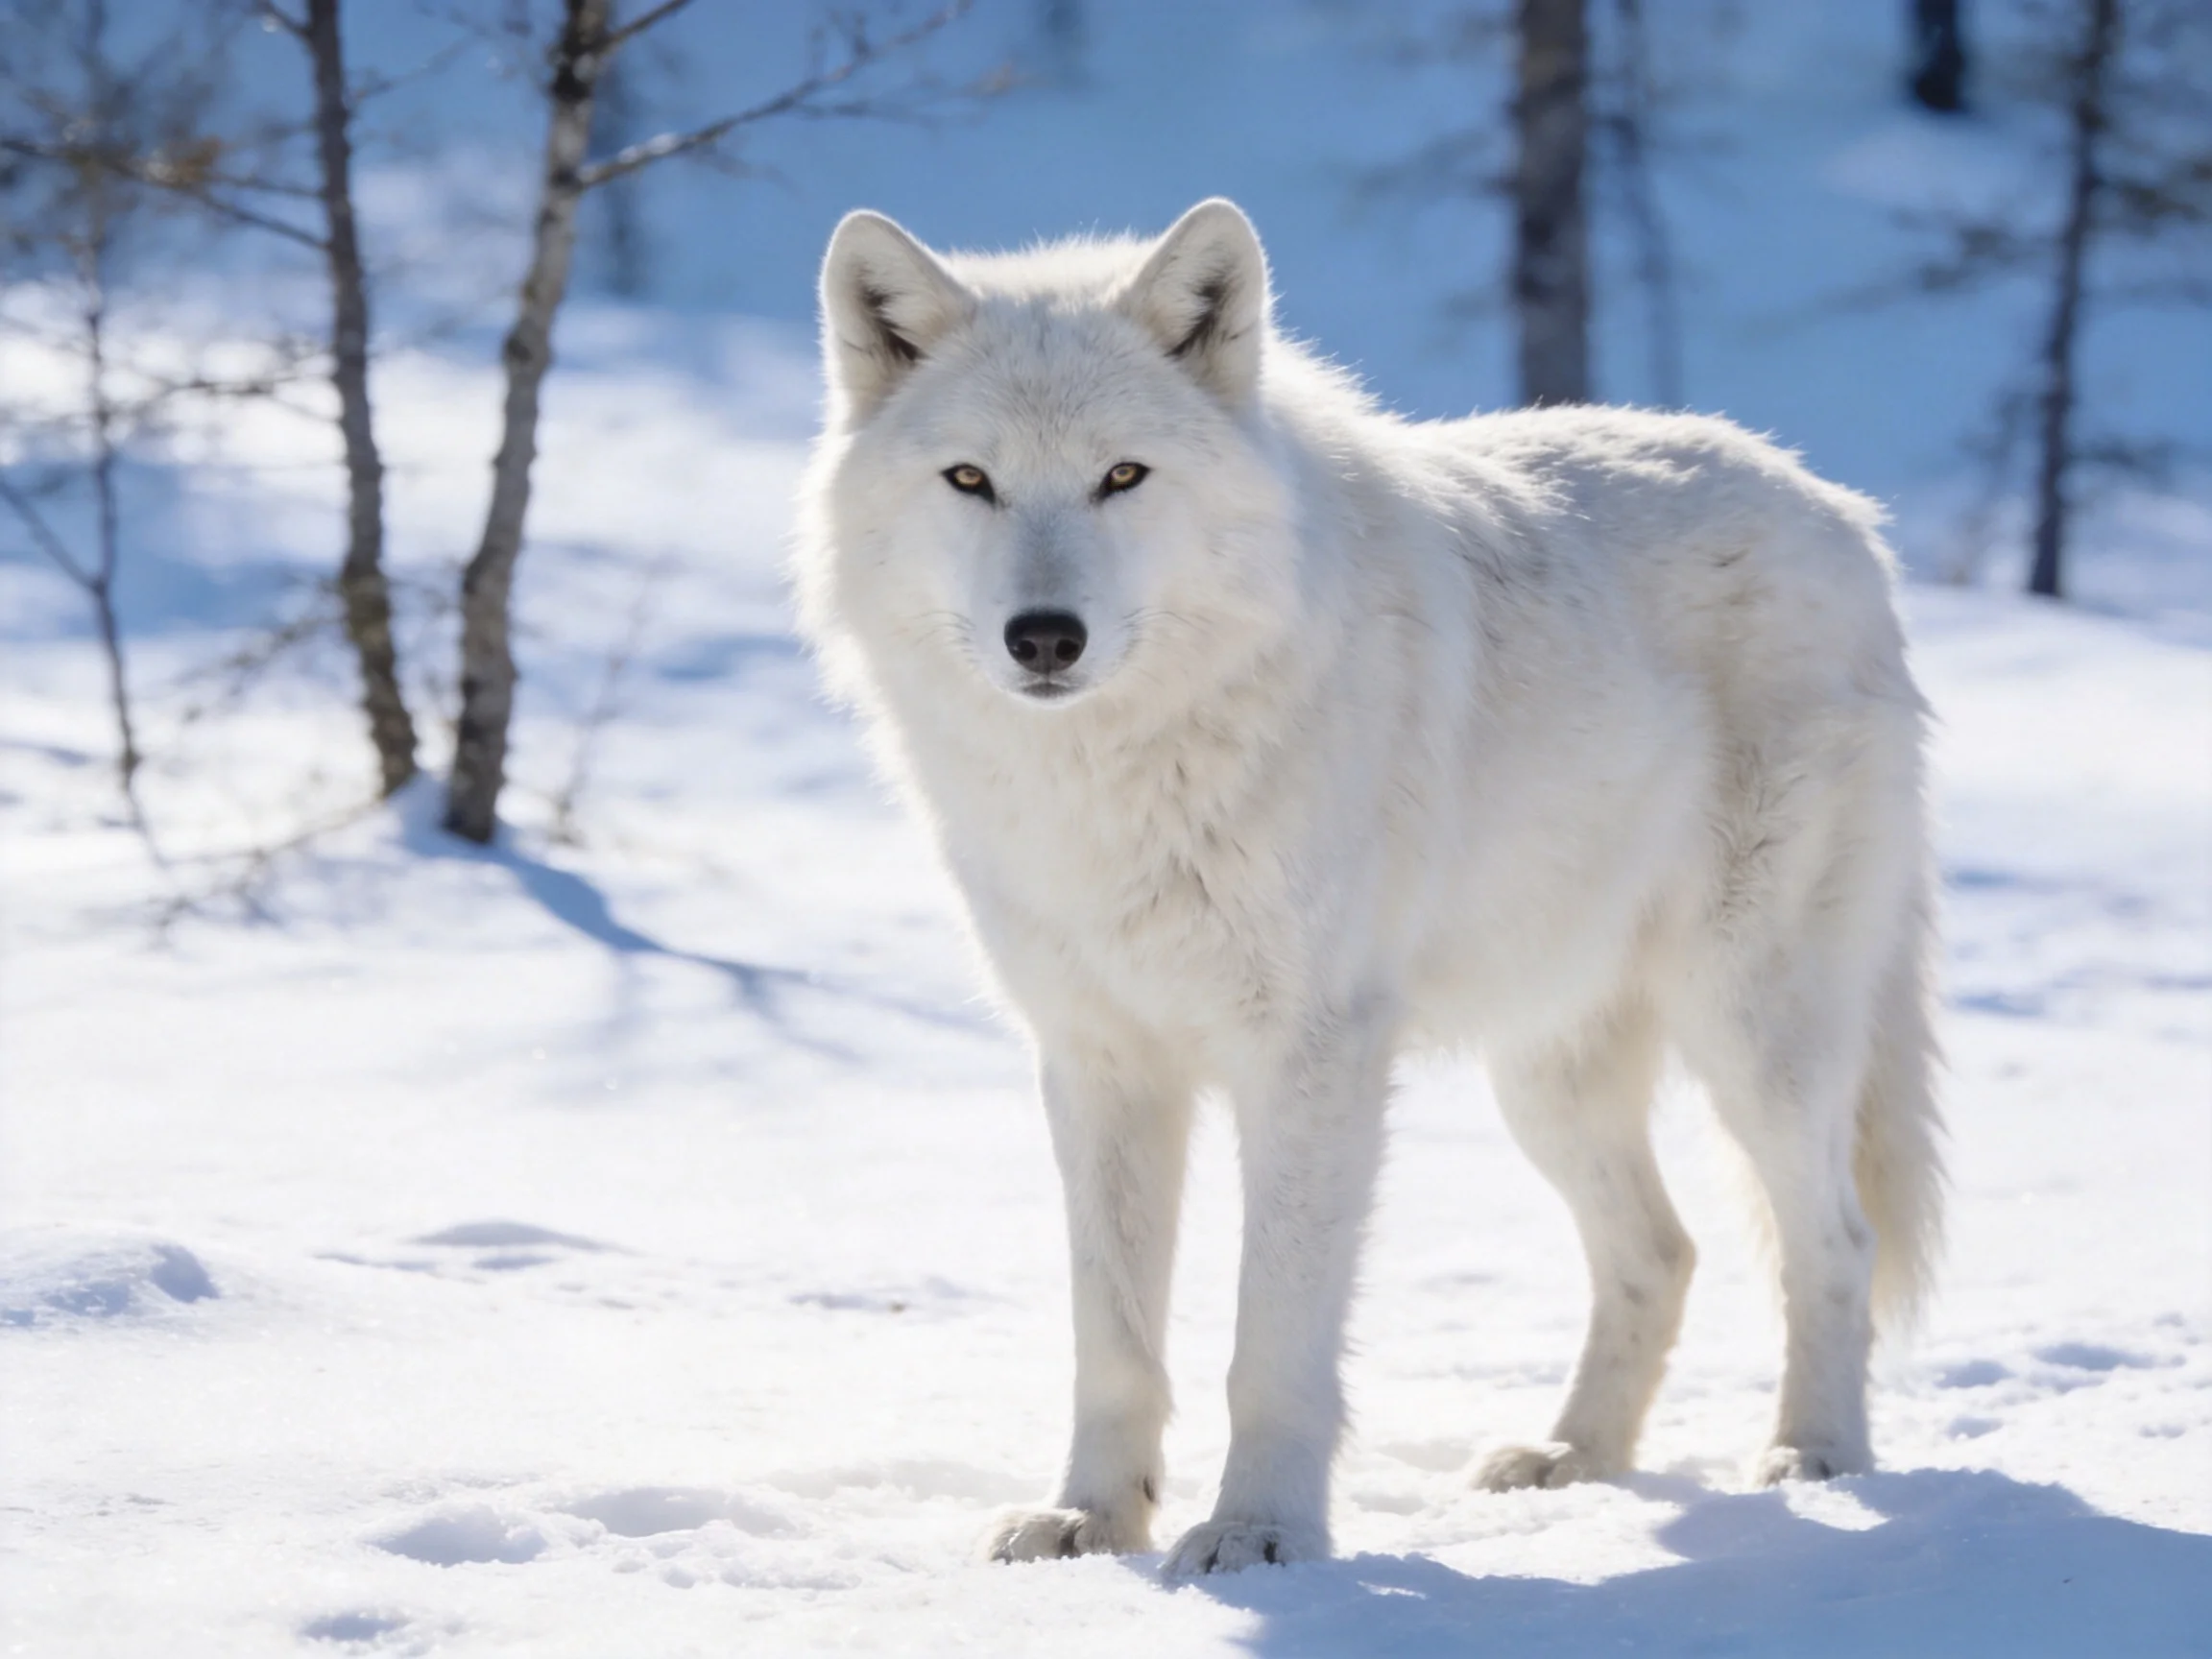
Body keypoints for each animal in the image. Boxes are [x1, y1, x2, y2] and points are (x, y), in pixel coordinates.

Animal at [794, 199, 1942, 1577]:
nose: (1045, 638)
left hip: (1753, 1036)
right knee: (1662, 1253)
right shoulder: (1097, 1061)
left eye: (1123, 476)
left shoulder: (1310, 1060)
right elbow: (1111, 1338)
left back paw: (1812, 1460)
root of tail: (1842, 512)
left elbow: (1272, 1341)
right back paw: (1572, 1460)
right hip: (1545, 1078)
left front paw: (1258, 1535)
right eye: (971, 479)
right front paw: (1089, 1521)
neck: (1119, 777)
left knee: (1833, 1242)